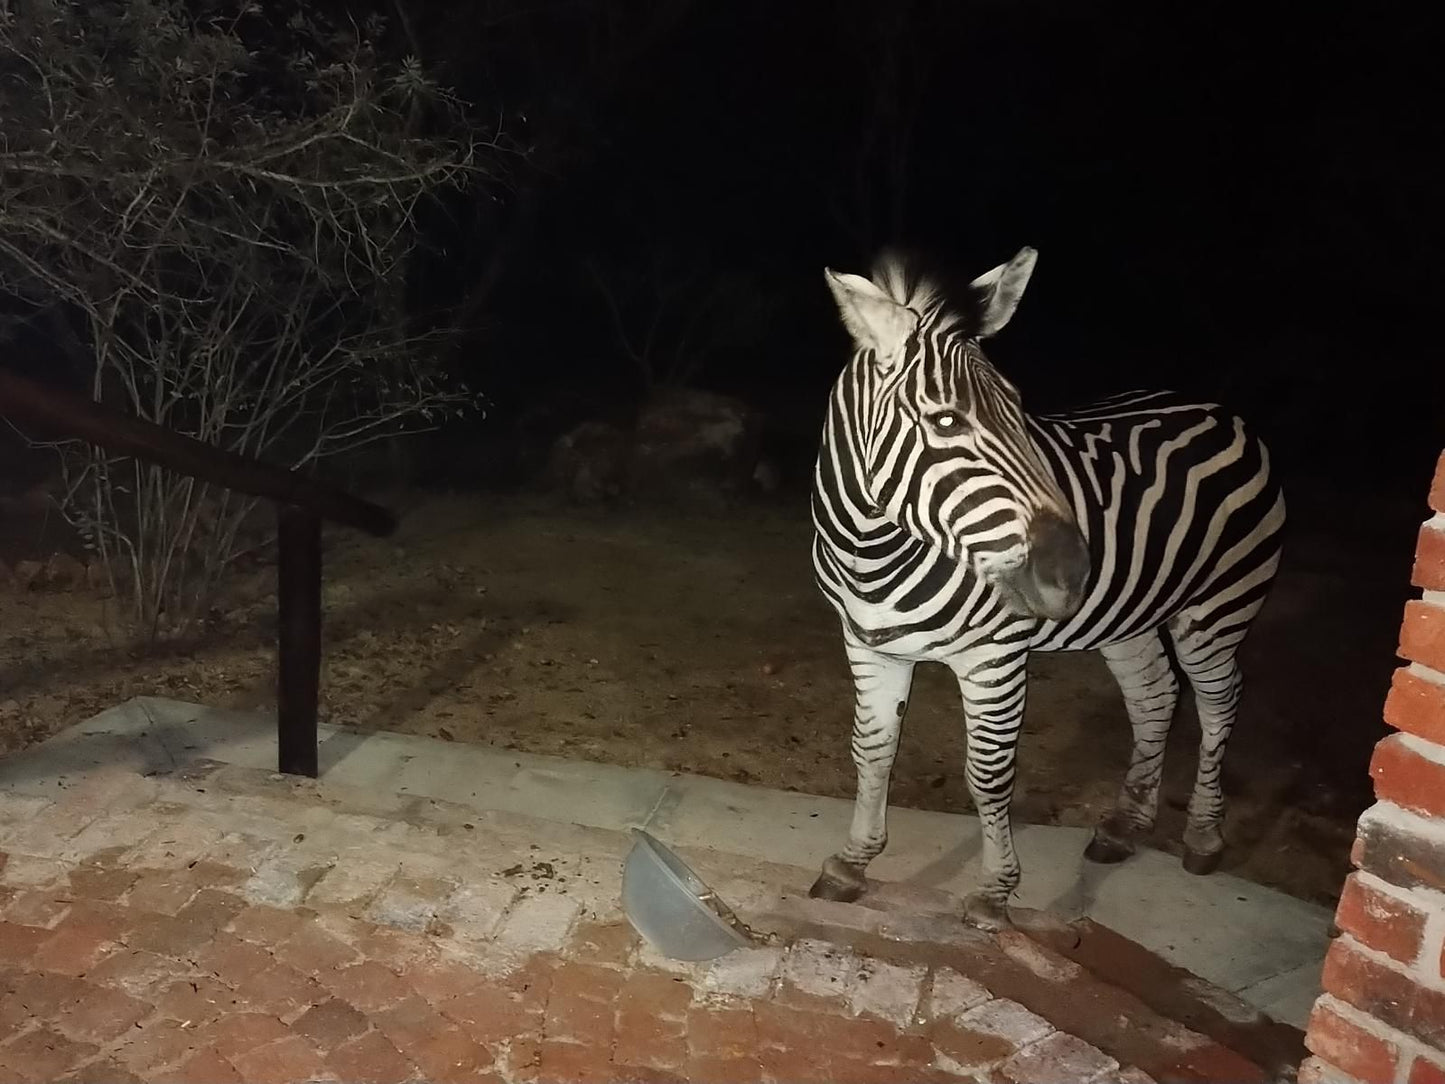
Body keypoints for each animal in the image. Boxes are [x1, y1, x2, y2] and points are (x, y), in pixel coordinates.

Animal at [814, 248, 1288, 936]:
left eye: (1020, 411)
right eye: (947, 420)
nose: (1074, 571)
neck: (871, 550)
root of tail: (1221, 411)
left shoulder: (995, 659)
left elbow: (988, 775)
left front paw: (993, 895)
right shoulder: (870, 646)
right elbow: (873, 753)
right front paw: (852, 863)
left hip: (1218, 607)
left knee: (1220, 699)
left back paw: (1203, 834)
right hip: (1130, 618)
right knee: (1155, 695)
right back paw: (1124, 826)